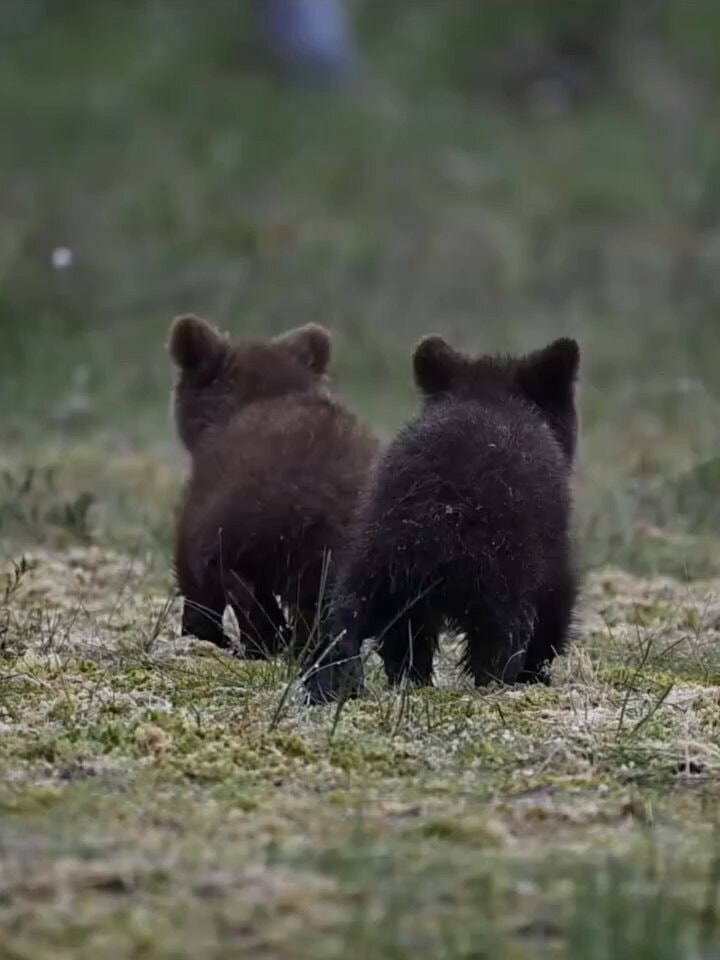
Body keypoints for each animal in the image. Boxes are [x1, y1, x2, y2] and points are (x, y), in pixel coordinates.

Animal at [304, 334, 580, 703]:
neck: (489, 398)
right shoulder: (550, 547)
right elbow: (555, 605)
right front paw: (536, 674)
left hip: (379, 565)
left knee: (359, 624)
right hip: (500, 567)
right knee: (499, 639)